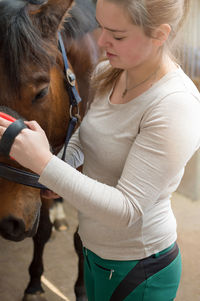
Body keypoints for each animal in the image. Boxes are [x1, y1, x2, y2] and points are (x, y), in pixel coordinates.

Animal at [0, 0, 99, 298]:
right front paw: (34, 283)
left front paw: (82, 289)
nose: (7, 222)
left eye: (41, 92)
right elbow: (41, 231)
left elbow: (83, 239)